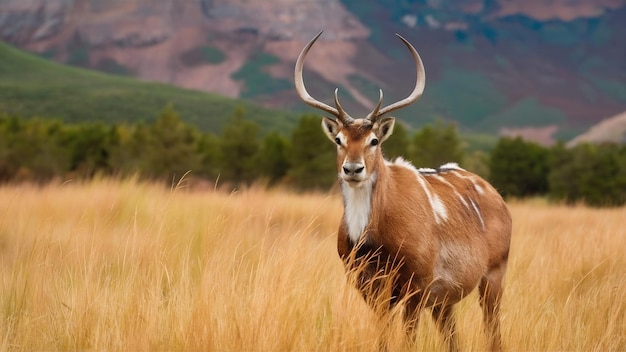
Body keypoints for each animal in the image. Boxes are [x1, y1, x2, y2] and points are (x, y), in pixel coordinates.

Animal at [292, 31, 508, 350]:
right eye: (339, 139)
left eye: (373, 140)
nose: (353, 169)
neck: (373, 243)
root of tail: (498, 197)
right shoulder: (367, 284)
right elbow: (382, 337)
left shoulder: (418, 281)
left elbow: (408, 339)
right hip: (445, 299)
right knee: (453, 336)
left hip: (495, 271)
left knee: (493, 331)